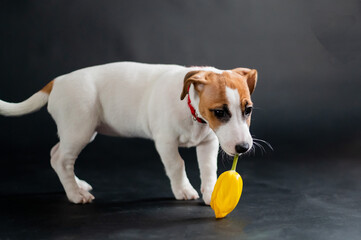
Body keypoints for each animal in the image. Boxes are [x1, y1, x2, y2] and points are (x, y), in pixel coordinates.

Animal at [1, 61, 258, 204]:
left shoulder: (208, 143)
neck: (191, 111)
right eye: (219, 112)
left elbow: (208, 169)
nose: (243, 148)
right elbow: (177, 165)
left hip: (76, 132)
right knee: (61, 159)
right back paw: (75, 194)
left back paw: (77, 184)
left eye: (248, 110)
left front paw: (210, 193)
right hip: (79, 129)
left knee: (57, 153)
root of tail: (57, 82)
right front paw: (184, 190)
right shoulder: (165, 142)